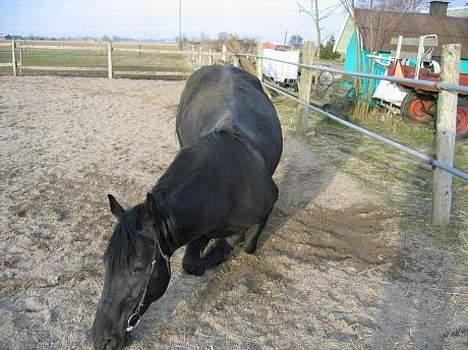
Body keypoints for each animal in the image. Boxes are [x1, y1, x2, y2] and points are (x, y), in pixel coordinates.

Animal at [91, 65, 282, 350]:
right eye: (105, 262)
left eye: (138, 267)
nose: (101, 338)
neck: (226, 183)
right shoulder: (198, 227)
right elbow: (191, 264)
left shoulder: (265, 209)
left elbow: (246, 244)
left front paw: (223, 246)